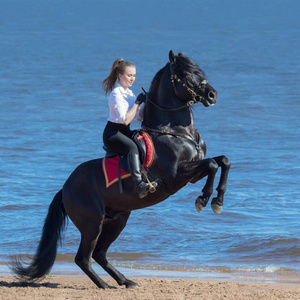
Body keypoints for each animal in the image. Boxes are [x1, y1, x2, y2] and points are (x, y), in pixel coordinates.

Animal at [11, 51, 231, 288]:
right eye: (186, 74)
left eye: (199, 70)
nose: (212, 95)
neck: (174, 131)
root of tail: (65, 188)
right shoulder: (176, 176)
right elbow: (212, 164)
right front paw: (205, 199)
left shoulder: (191, 175)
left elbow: (223, 161)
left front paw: (217, 200)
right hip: (92, 223)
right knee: (83, 257)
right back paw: (105, 285)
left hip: (117, 219)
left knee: (99, 254)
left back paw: (125, 281)